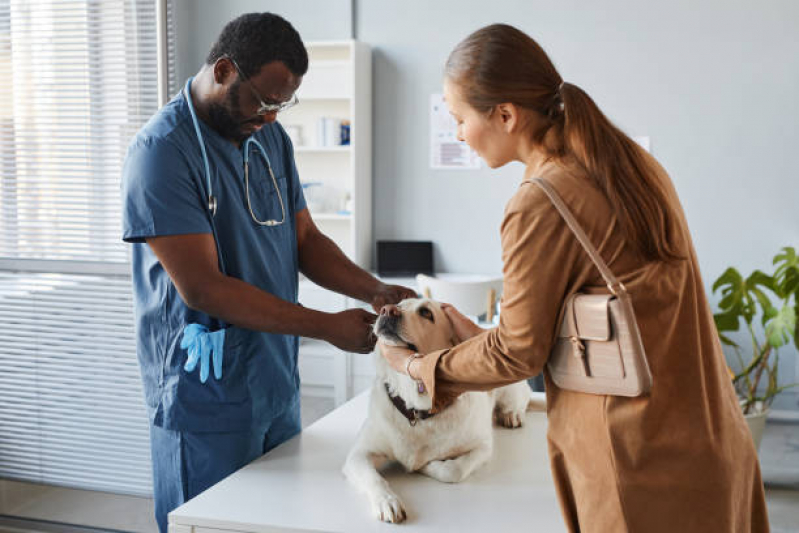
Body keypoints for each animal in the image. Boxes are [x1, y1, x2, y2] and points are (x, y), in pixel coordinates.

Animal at [344, 298, 544, 520]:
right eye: (399, 304)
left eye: (426, 312)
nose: (387, 310)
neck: (418, 410)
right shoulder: (358, 454)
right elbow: (374, 478)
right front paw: (387, 501)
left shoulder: (483, 446)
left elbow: (453, 470)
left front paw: (425, 466)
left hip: (509, 383)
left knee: (521, 399)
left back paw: (511, 414)